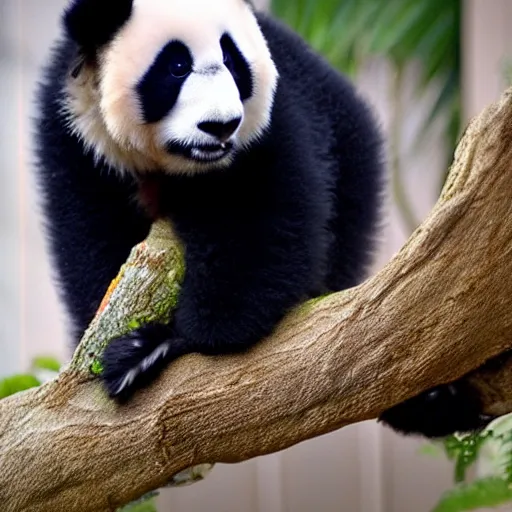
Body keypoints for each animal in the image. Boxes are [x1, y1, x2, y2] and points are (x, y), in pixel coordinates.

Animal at [32, 0, 488, 440]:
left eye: (231, 60)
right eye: (176, 67)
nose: (220, 126)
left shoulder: (274, 116)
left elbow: (264, 223)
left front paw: (165, 344)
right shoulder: (75, 134)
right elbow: (92, 234)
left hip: (353, 161)